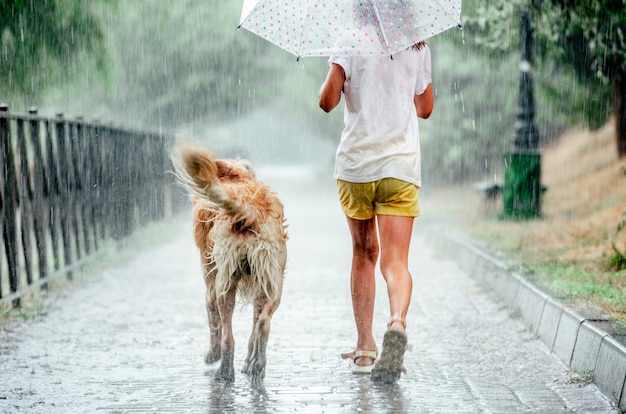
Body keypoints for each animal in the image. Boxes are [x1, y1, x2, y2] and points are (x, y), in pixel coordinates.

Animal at [172, 141, 286, 386]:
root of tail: (250, 211)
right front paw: (249, 363)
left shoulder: (210, 283)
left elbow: (213, 323)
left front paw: (211, 355)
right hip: (272, 282)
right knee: (262, 325)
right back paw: (256, 366)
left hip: (225, 283)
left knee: (228, 336)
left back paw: (224, 371)